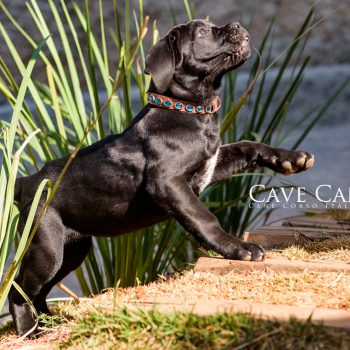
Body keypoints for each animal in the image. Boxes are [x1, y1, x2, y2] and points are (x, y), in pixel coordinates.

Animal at [10, 20, 314, 338]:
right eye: (202, 32)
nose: (237, 24)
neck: (188, 110)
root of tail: (26, 181)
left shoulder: (210, 164)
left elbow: (247, 145)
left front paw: (289, 159)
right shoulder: (167, 183)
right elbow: (204, 218)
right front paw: (237, 248)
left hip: (72, 249)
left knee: (39, 291)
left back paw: (48, 324)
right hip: (46, 247)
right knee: (18, 290)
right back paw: (30, 332)